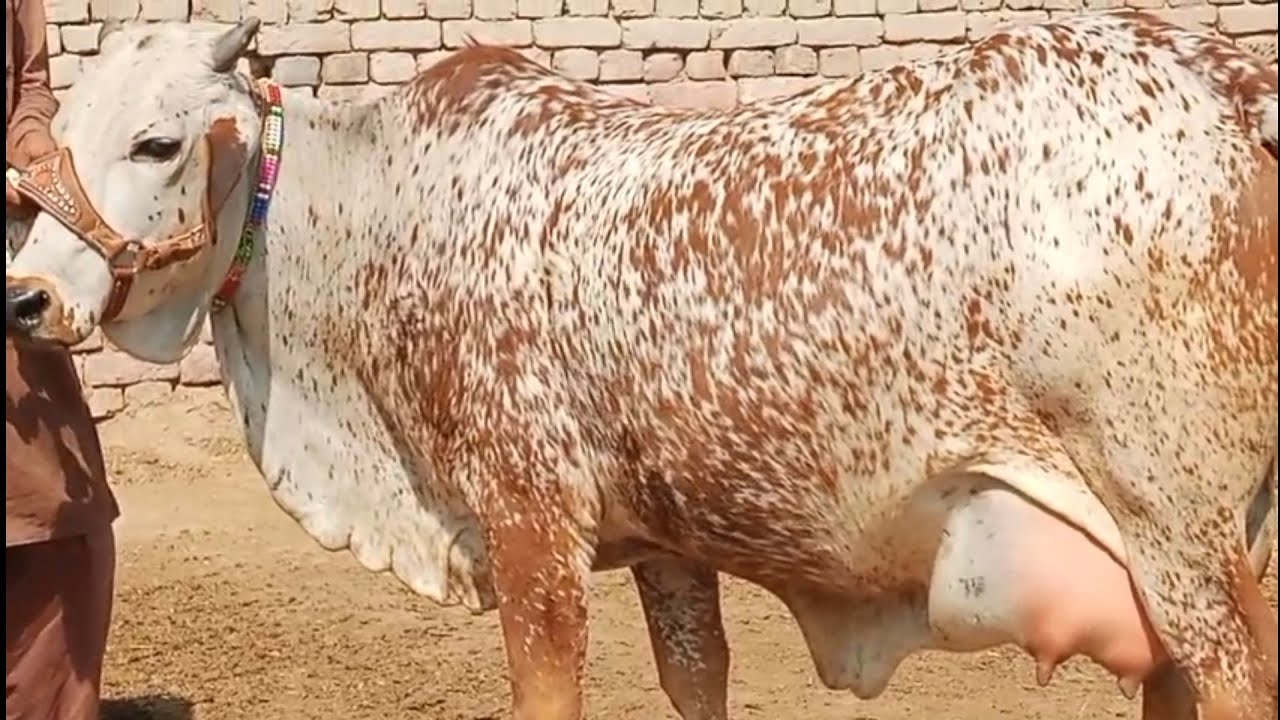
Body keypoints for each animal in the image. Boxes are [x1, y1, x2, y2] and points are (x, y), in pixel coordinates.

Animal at [5, 10, 1277, 720]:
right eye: (56, 132)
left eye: (157, 141)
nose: (29, 297)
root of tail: (1221, 75)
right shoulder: (670, 542)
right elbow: (692, 680)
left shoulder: (530, 523)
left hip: (1178, 531)